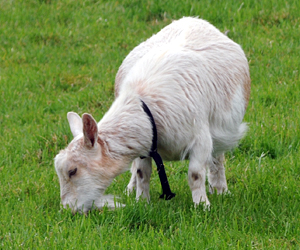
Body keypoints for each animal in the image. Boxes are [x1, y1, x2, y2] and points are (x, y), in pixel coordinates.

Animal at [54, 17, 251, 213]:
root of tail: (192, 19)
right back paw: (131, 188)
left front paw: (202, 205)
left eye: (73, 171)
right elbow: (142, 173)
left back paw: (220, 189)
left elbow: (195, 175)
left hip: (221, 128)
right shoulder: (144, 144)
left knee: (217, 157)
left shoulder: (200, 140)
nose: (66, 209)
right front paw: (141, 201)